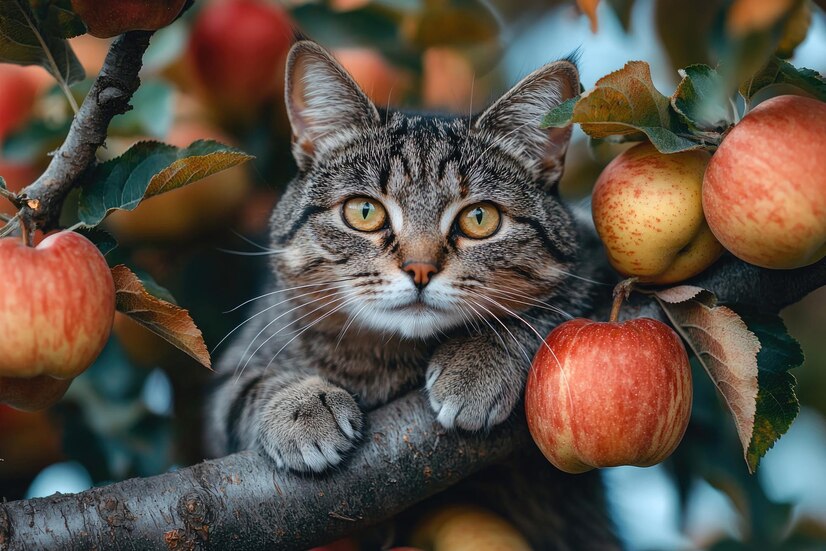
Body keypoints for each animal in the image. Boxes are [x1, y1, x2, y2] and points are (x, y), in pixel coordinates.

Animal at [206, 41, 616, 548]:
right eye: (364, 212)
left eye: (479, 218)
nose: (420, 269)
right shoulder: (232, 379)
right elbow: (250, 389)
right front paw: (301, 406)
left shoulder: (599, 268)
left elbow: (547, 311)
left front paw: (479, 360)